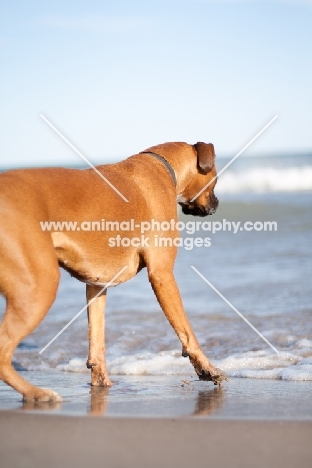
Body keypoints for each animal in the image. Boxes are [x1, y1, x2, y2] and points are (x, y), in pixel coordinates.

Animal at [0, 141, 227, 400]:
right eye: (215, 179)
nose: (217, 204)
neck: (163, 168)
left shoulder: (96, 285)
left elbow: (96, 340)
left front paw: (102, 383)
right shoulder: (162, 275)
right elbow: (187, 331)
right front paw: (207, 369)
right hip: (39, 288)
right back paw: (37, 393)